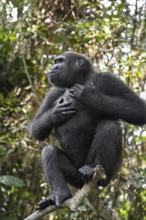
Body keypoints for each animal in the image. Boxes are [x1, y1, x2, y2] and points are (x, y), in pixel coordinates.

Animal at [29, 50, 146, 209]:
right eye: (55, 62)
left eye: (60, 61)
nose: (52, 68)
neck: (81, 79)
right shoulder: (53, 92)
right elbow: (36, 129)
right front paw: (55, 113)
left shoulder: (108, 79)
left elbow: (138, 109)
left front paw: (89, 96)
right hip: (76, 178)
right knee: (49, 151)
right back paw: (61, 194)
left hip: (108, 175)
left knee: (110, 126)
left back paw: (91, 168)